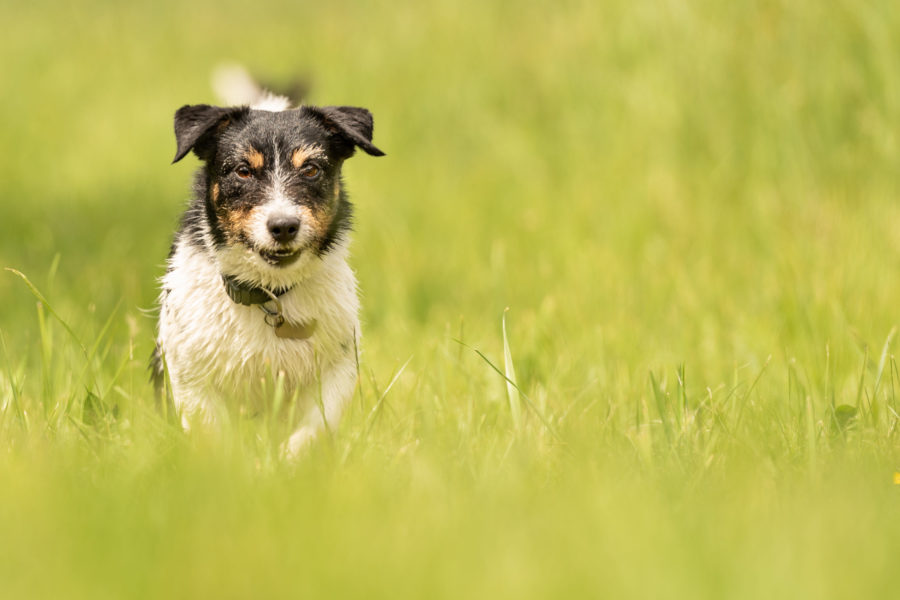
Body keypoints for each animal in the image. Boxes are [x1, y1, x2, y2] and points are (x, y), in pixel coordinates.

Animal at [151, 75, 384, 454]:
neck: (268, 292)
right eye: (243, 171)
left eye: (311, 168)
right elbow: (214, 439)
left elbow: (311, 431)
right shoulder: (191, 377)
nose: (284, 226)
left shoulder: (336, 369)